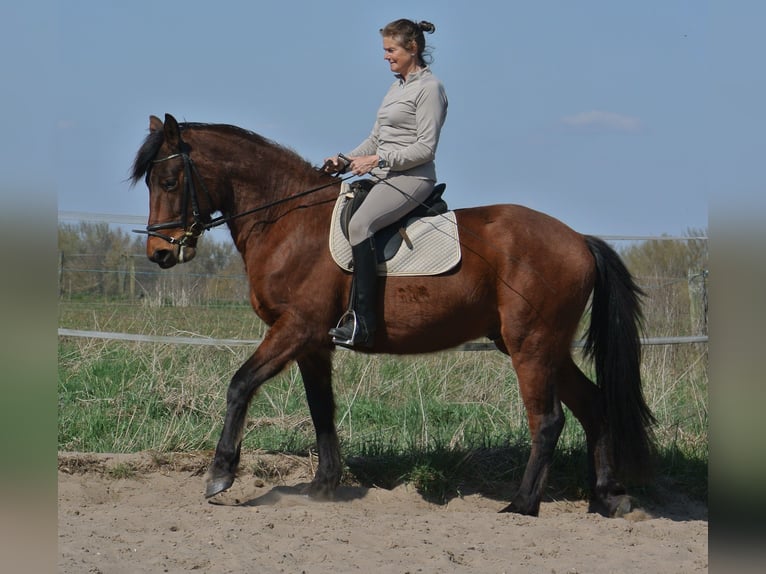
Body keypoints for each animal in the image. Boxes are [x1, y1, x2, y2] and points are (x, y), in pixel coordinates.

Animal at [131, 113, 655, 517]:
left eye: (170, 181)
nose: (160, 253)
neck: (289, 222)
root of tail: (578, 239)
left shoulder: (295, 328)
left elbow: (240, 384)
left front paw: (220, 475)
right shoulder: (313, 342)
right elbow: (322, 409)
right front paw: (323, 486)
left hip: (531, 346)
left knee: (546, 419)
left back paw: (522, 505)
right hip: (543, 346)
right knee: (592, 404)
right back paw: (609, 498)